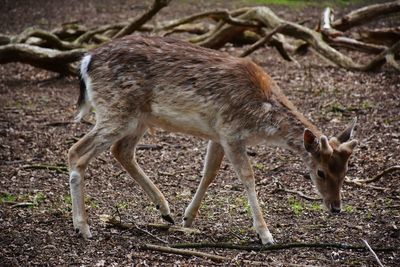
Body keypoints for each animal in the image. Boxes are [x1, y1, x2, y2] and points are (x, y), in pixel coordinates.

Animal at [67, 34, 358, 246]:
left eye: (345, 171)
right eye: (320, 172)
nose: (336, 208)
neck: (261, 118)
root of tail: (86, 60)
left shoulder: (217, 134)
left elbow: (209, 172)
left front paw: (187, 219)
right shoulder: (231, 132)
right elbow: (247, 177)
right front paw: (265, 235)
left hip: (138, 118)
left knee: (122, 151)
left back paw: (165, 210)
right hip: (116, 112)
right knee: (76, 152)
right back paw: (83, 227)